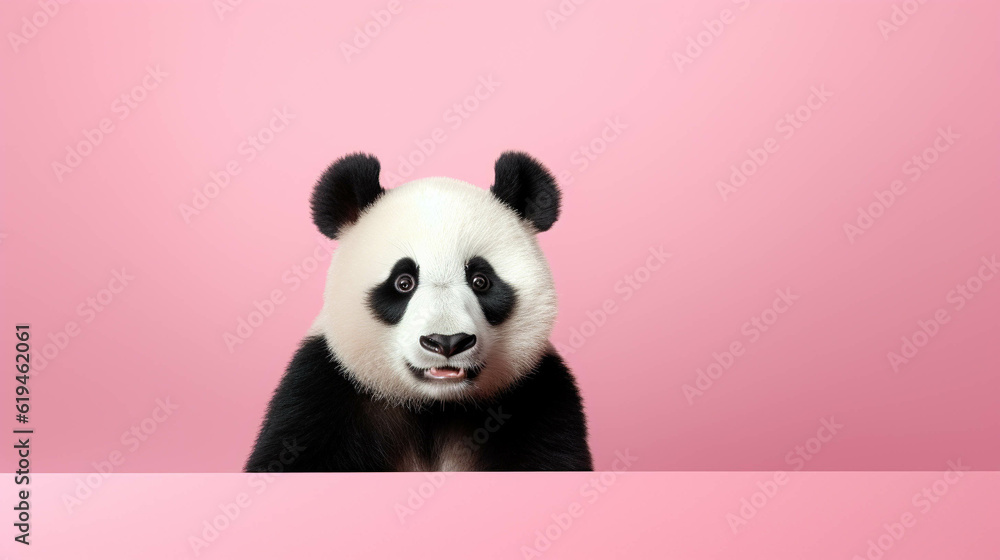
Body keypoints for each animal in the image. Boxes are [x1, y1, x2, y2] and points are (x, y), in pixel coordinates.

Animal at [245, 151, 593, 472]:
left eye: (481, 281)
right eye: (404, 282)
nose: (447, 342)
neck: (435, 407)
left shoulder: (536, 397)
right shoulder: (321, 394)